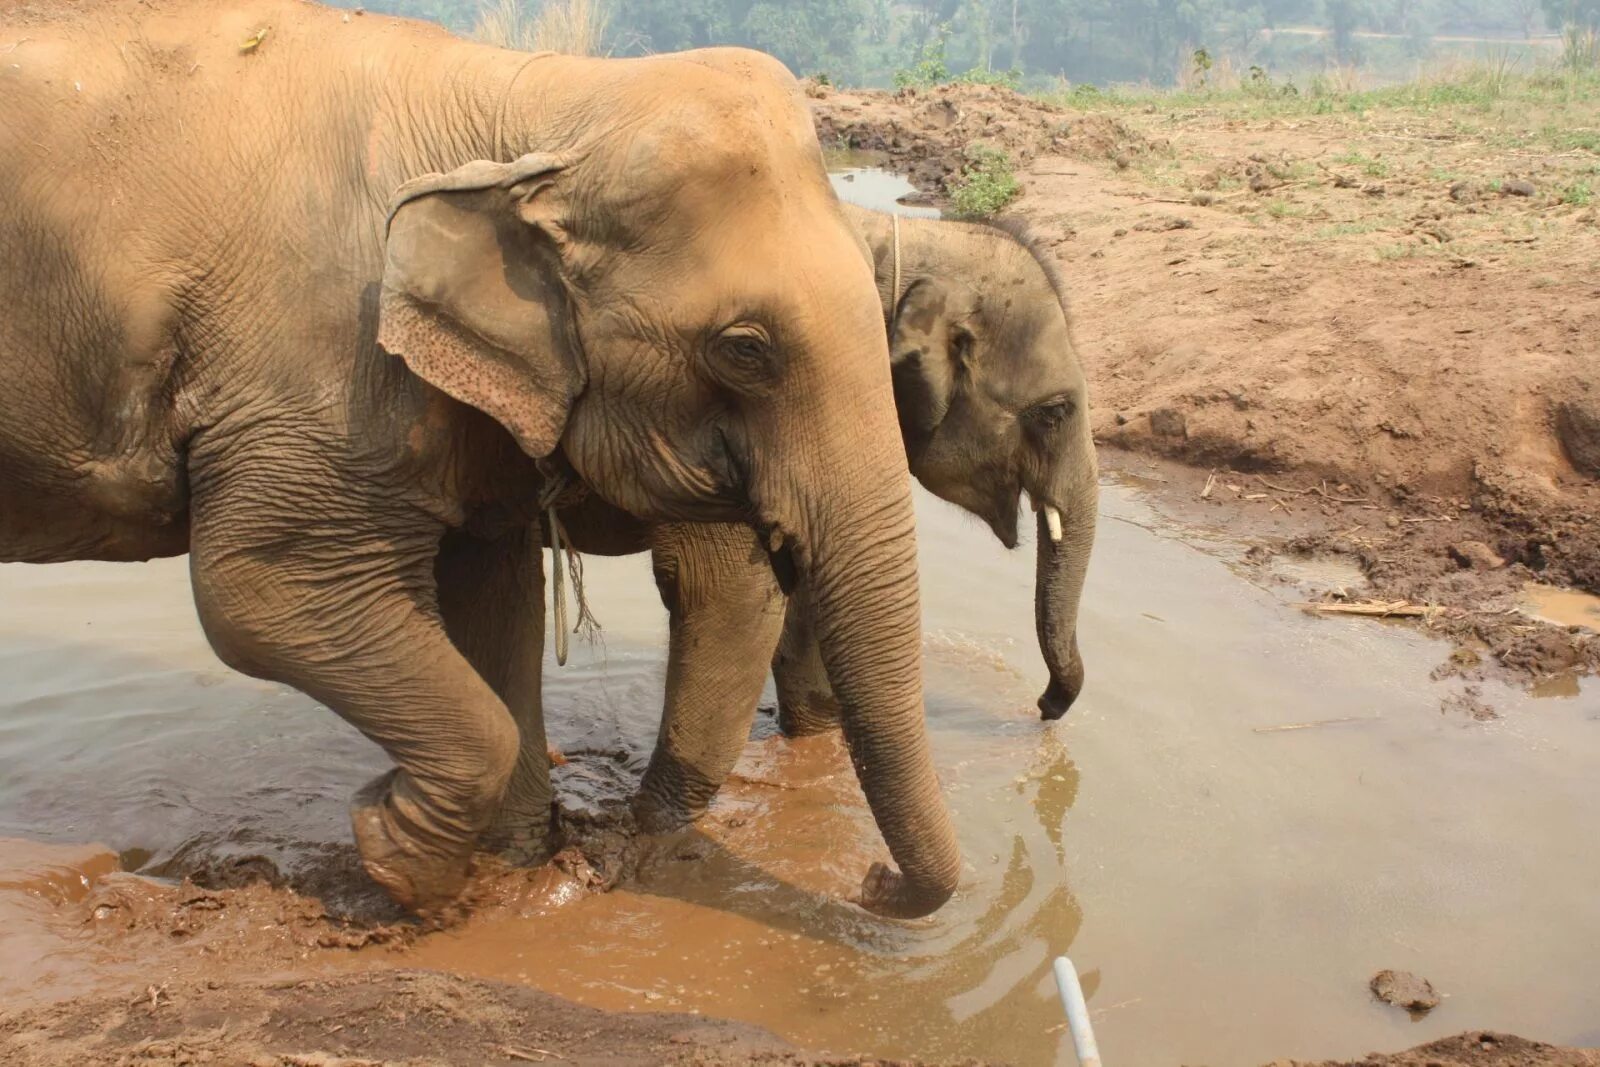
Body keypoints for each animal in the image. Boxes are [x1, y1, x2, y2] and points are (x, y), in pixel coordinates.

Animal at [0, 0, 960, 921]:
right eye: (745, 349)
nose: (870, 880)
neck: (529, 100)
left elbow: (493, 597)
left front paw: (511, 874)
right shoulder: (318, 371)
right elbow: (259, 590)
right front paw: (395, 854)